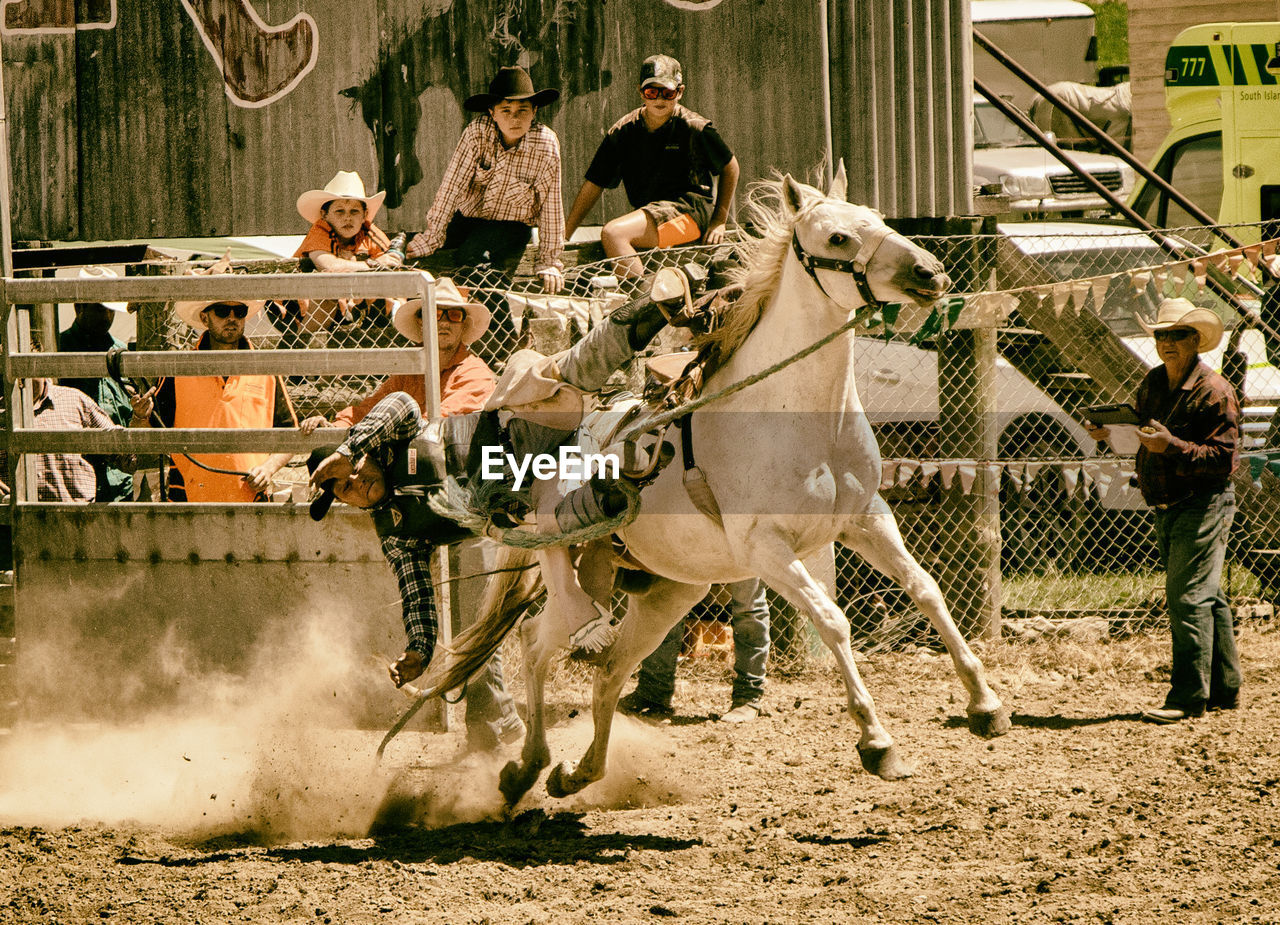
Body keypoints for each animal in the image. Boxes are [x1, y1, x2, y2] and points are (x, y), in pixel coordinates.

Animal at [430, 170, 1008, 808]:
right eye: (836, 237)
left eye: (878, 219)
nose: (930, 273)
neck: (804, 420)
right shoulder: (767, 548)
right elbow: (833, 620)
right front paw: (877, 742)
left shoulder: (868, 520)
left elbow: (928, 591)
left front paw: (985, 705)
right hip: (581, 585)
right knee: (536, 645)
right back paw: (525, 767)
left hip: (670, 593)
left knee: (609, 671)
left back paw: (577, 773)